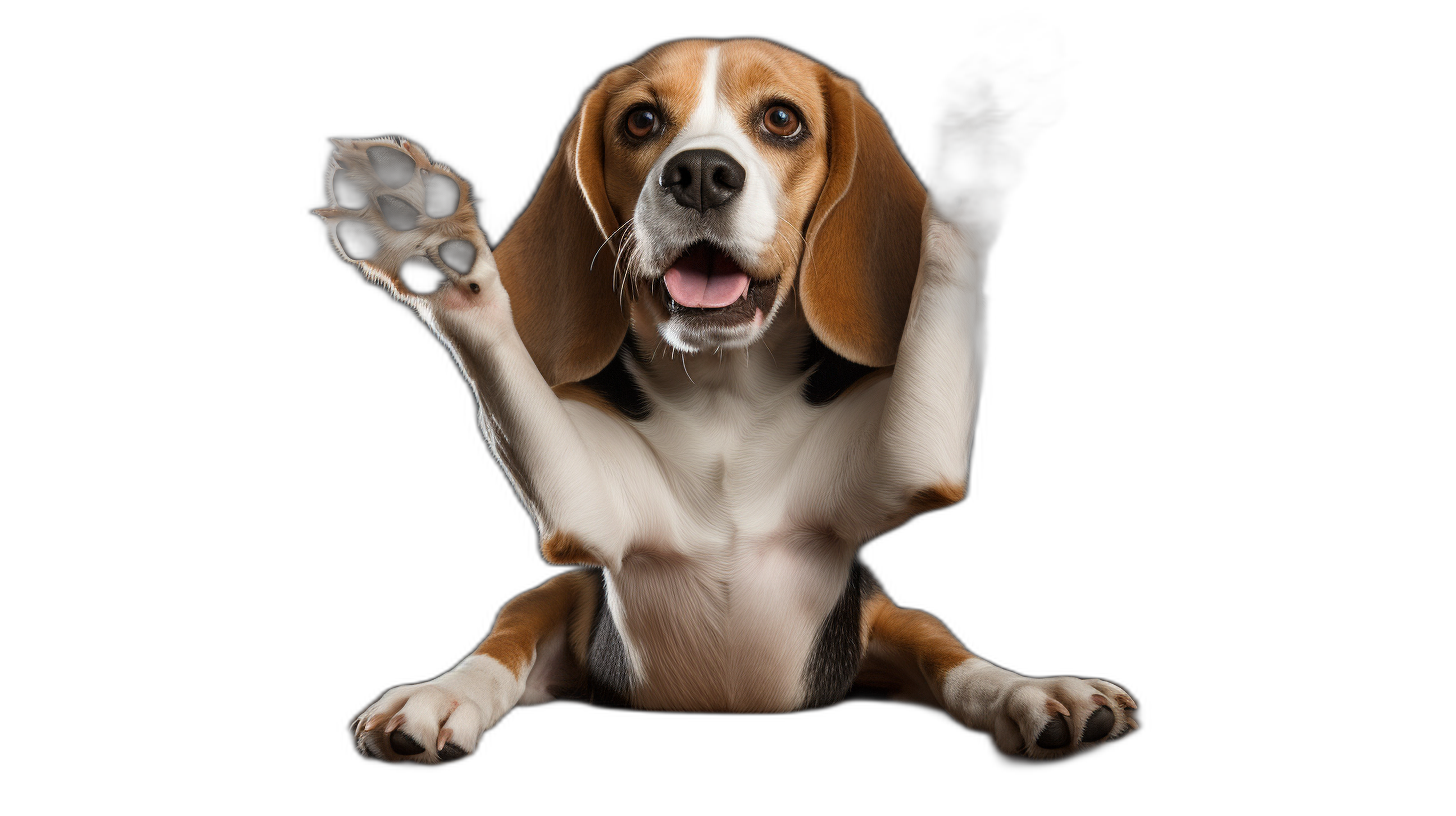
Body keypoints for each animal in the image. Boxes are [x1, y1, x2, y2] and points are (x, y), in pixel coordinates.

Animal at [315, 39, 1135, 763]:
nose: (702, 172)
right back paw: (438, 698)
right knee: (502, 644)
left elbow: (944, 271)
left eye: (781, 119)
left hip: (891, 616)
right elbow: (501, 356)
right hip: (552, 594)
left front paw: (976, 164)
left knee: (952, 659)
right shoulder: (588, 512)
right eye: (641, 121)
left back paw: (1037, 696)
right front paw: (435, 253)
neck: (724, 401)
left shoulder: (911, 461)